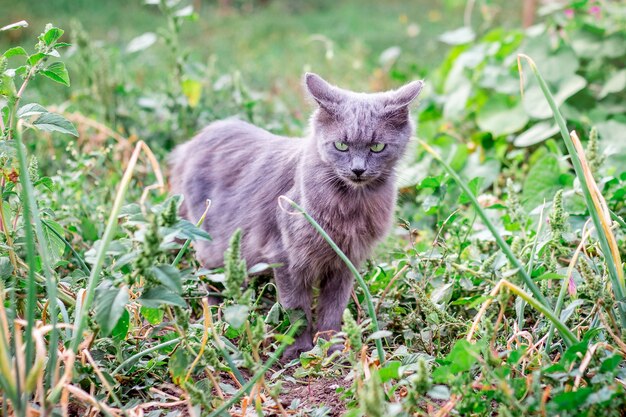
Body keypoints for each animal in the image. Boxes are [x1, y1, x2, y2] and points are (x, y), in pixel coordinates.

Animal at [171, 72, 422, 358]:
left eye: (377, 147)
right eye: (341, 146)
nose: (358, 170)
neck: (350, 207)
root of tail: (192, 143)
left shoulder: (345, 262)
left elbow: (333, 310)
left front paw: (332, 347)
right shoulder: (287, 258)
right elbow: (297, 311)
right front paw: (299, 351)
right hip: (212, 246)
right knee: (209, 277)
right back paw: (214, 313)